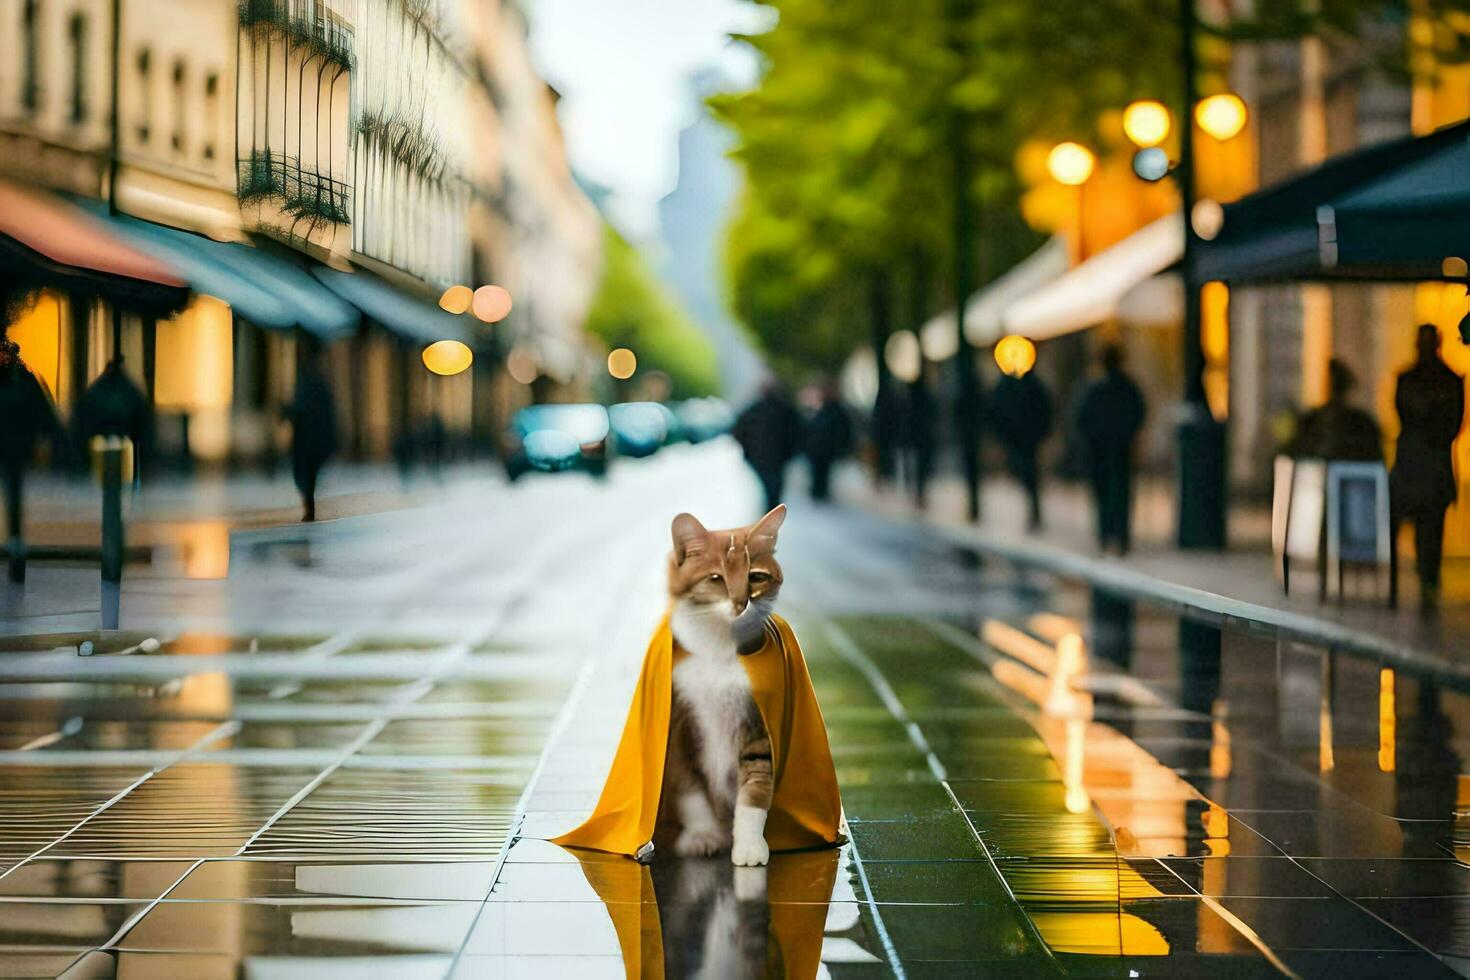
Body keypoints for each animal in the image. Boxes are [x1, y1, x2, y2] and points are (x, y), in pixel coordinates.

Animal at [661, 505, 787, 863]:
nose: (741, 603)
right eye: (716, 578)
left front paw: (749, 846)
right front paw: (702, 835)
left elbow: (755, 790)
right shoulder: (679, 726)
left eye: (756, 576)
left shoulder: (758, 724)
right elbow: (689, 789)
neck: (717, 649)